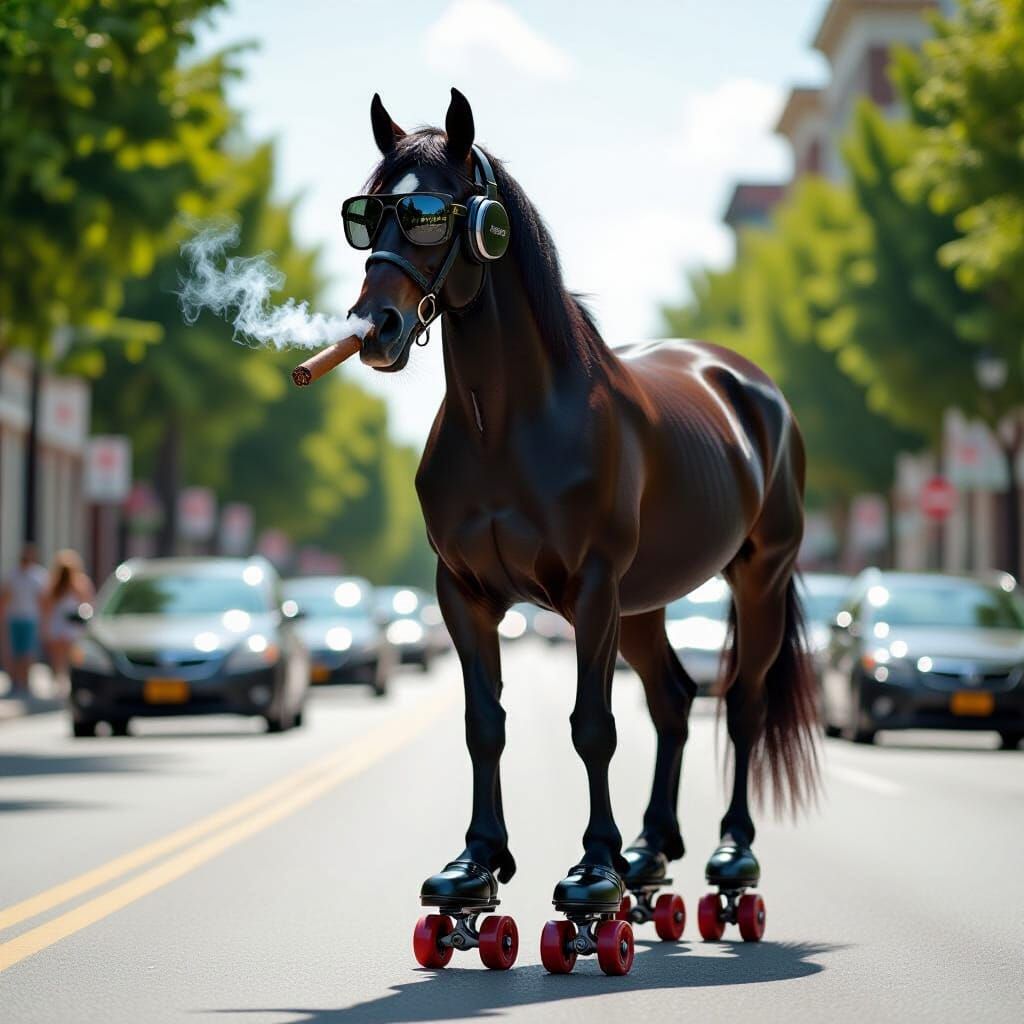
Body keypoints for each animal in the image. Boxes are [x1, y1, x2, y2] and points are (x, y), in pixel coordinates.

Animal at [344, 88, 819, 975]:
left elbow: (592, 728)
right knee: (674, 700)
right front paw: (472, 879)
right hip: (646, 604)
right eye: (367, 214)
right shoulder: (463, 594)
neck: (507, 424)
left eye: (431, 214)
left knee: (738, 705)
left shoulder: (591, 589)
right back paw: (650, 864)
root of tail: (751, 385)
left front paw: (591, 884)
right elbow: (484, 724)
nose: (375, 327)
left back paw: (729, 869)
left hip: (755, 579)